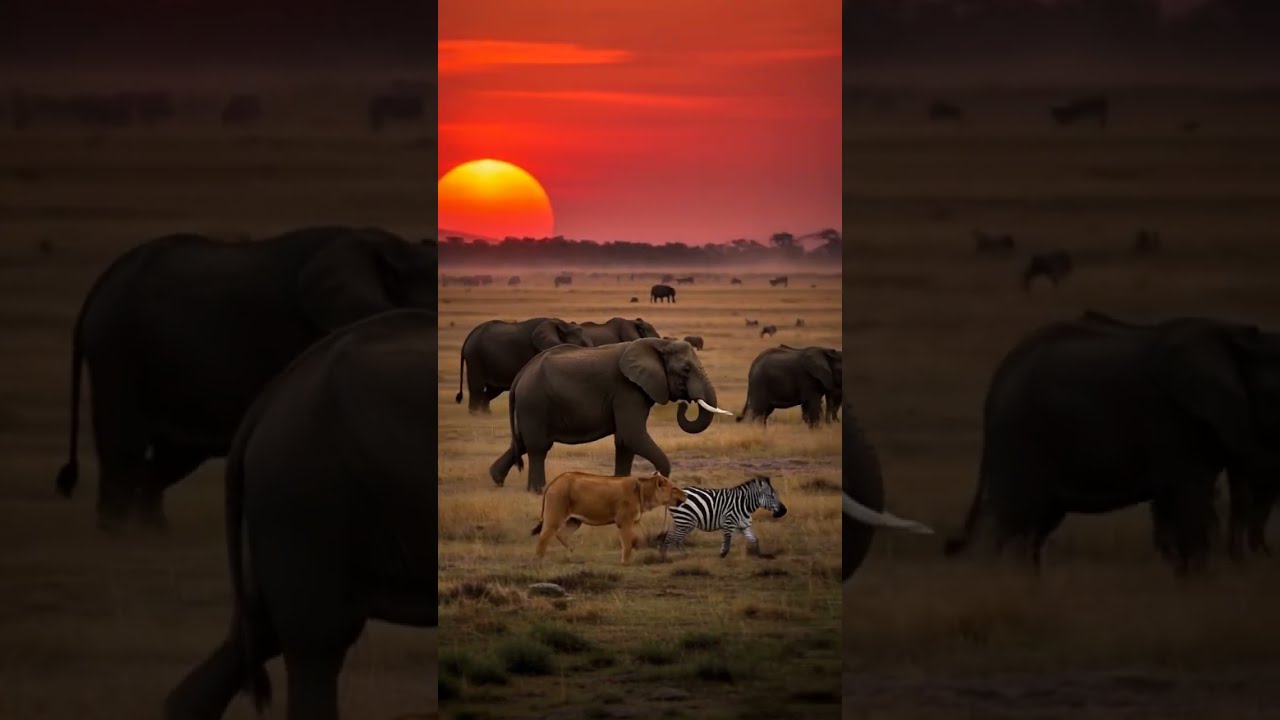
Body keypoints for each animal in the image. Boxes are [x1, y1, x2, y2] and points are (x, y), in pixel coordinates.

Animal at [56, 226, 436, 533]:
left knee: (175, 454)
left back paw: (155, 534)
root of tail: (97, 289)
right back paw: (116, 534)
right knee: (125, 447)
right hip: (117, 348)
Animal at [455, 318, 594, 414]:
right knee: (477, 389)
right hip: (475, 357)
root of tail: (467, 338)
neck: (561, 324)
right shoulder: (538, 350)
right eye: (582, 344)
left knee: (491, 390)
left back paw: (486, 416)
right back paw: (475, 415)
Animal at [489, 337, 735, 492]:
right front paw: (660, 481)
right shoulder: (627, 390)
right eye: (685, 370)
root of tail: (520, 375)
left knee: (522, 443)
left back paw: (496, 479)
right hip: (535, 403)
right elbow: (632, 435)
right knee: (538, 447)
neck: (658, 344)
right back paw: (538, 490)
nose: (684, 403)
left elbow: (625, 441)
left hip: (530, 406)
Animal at [944, 310, 1280, 574]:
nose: (1261, 555)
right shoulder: (1173, 418)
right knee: (1011, 519)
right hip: (1021, 433)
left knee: (1036, 525)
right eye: (1275, 394)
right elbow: (1190, 497)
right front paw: (1200, 583)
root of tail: (999, 376)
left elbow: (1170, 509)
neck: (1236, 339)